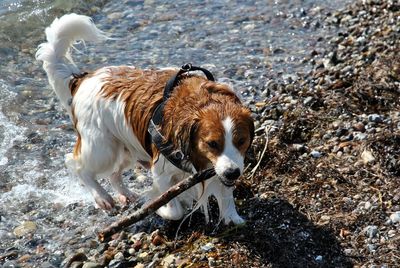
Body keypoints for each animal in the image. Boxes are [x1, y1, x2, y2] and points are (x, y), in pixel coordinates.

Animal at [35, 14, 253, 224]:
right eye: (212, 144)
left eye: (241, 141)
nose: (233, 173)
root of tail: (83, 78)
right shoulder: (162, 172)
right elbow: (174, 210)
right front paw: (158, 208)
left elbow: (226, 194)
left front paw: (233, 218)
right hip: (102, 148)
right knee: (76, 165)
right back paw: (101, 197)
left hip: (128, 147)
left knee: (114, 174)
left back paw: (127, 195)